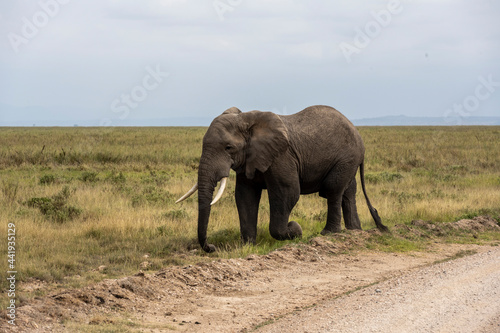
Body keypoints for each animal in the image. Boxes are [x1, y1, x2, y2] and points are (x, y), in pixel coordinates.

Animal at [178, 104, 388, 252]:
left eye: (228, 147)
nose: (211, 248)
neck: (248, 120)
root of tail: (357, 132)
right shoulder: (250, 159)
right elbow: (245, 196)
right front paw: (247, 246)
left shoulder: (281, 157)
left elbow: (287, 192)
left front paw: (295, 230)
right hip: (348, 161)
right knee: (348, 191)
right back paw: (355, 231)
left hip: (346, 158)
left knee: (333, 190)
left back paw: (329, 233)